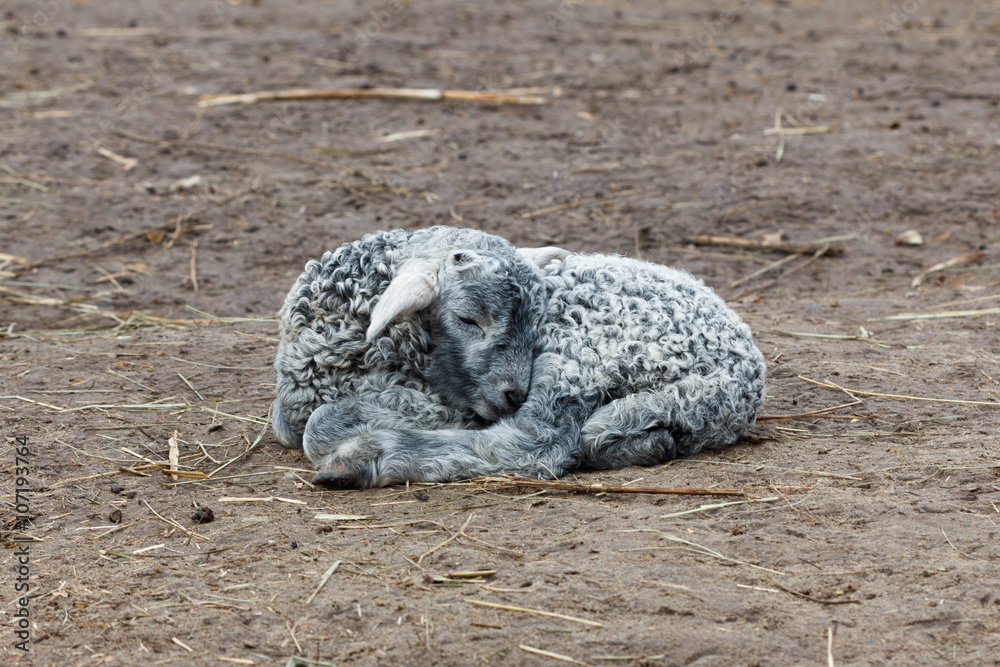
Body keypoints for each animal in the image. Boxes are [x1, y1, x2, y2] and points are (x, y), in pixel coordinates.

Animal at [304, 248, 767, 488]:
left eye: (469, 318)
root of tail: (739, 383)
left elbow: (318, 424)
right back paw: (651, 444)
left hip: (585, 347)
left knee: (534, 443)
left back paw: (361, 458)